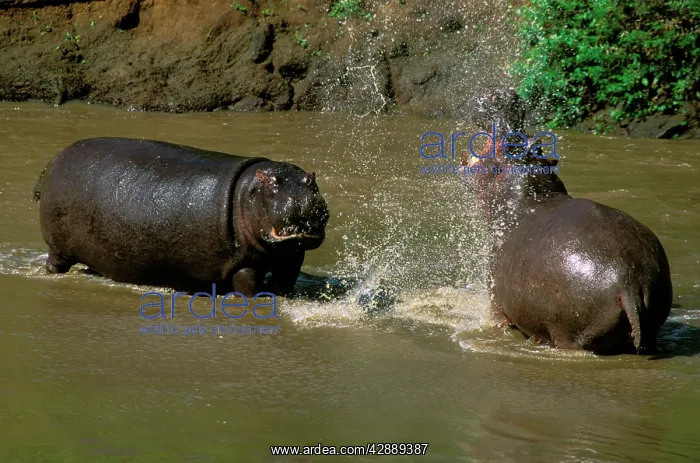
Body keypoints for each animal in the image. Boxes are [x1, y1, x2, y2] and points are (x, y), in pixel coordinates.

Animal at [33, 137, 331, 297]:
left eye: (312, 180)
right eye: (270, 182)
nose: (303, 199)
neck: (246, 191)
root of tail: (53, 160)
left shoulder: (291, 256)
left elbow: (286, 280)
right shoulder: (244, 264)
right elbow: (248, 285)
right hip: (58, 246)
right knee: (55, 263)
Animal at [460, 90, 672, 354]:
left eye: (507, 146)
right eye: (536, 143)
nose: (505, 97)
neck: (527, 194)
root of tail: (629, 280)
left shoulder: (495, 299)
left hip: (568, 333)